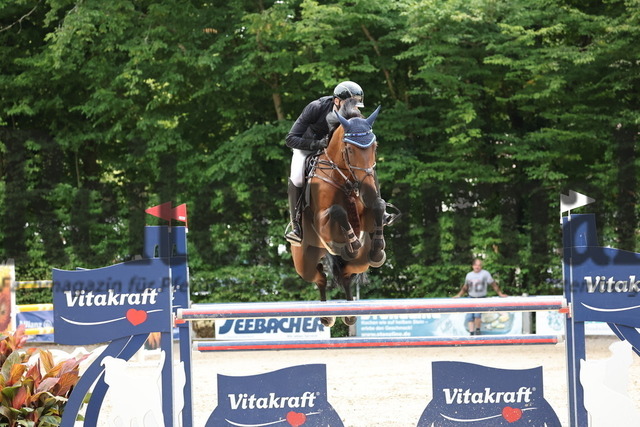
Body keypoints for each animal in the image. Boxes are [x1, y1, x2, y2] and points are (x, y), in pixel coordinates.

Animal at [291, 99, 388, 327]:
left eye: (374, 147)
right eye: (350, 149)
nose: (367, 189)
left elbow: (378, 206)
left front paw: (378, 248)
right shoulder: (321, 222)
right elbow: (337, 211)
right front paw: (352, 242)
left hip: (360, 263)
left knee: (345, 274)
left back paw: (350, 313)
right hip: (303, 263)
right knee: (320, 278)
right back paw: (327, 316)